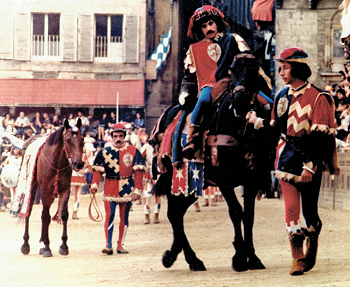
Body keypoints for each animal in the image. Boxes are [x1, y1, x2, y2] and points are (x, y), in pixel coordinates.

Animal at [20, 119, 85, 258]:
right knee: (29, 211)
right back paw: (26, 245)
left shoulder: (65, 189)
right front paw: (46, 247)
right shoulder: (45, 190)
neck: (56, 162)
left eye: (82, 139)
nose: (78, 163)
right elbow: (46, 217)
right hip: (32, 186)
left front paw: (64, 246)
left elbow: (64, 215)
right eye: (68, 140)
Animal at [150, 51, 274, 272]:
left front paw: (252, 257)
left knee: (178, 212)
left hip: (196, 183)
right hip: (177, 177)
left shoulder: (251, 179)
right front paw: (239, 257)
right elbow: (236, 211)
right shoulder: (224, 179)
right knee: (174, 213)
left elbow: (249, 215)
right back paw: (190, 258)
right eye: (232, 70)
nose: (240, 100)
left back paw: (177, 255)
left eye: (254, 71)